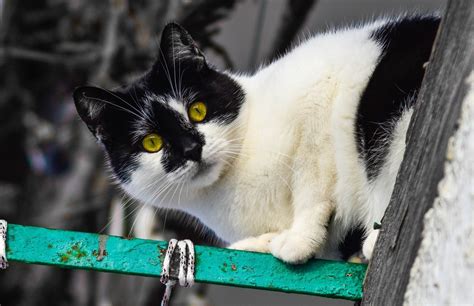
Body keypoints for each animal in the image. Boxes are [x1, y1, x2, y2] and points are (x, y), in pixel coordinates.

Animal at [72, 14, 438, 262]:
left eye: (197, 110)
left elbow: (310, 182)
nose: (192, 148)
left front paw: (298, 239)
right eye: (152, 142)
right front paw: (263, 243)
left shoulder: (316, 98)